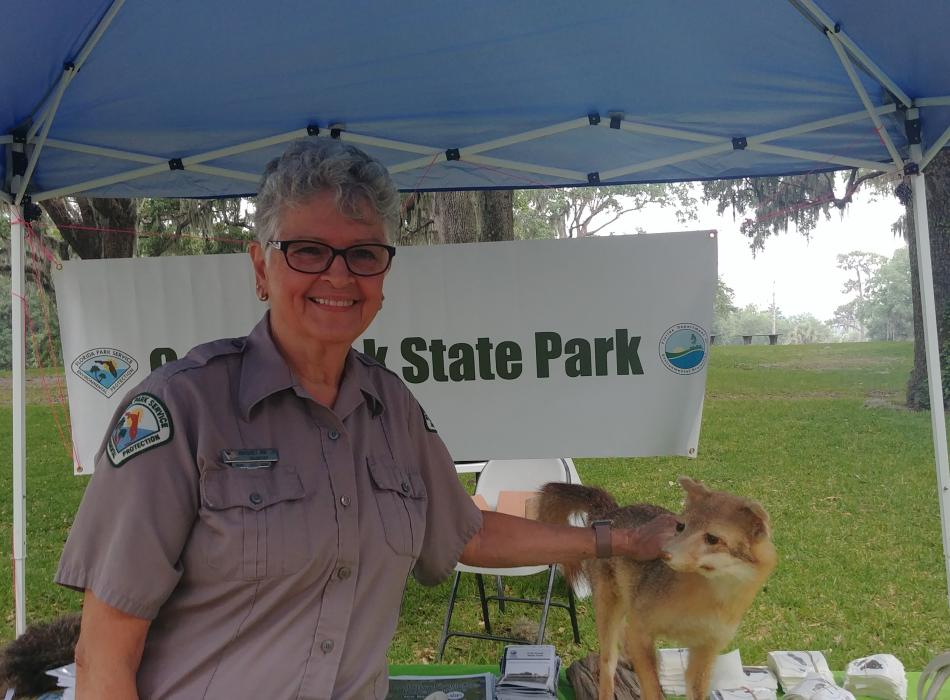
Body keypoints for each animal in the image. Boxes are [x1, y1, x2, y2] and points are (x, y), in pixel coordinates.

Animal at [540, 478, 776, 700]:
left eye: (712, 538)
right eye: (681, 527)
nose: (663, 553)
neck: (707, 603)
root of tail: (611, 512)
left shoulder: (705, 651)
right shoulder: (642, 630)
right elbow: (653, 689)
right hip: (609, 616)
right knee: (608, 665)